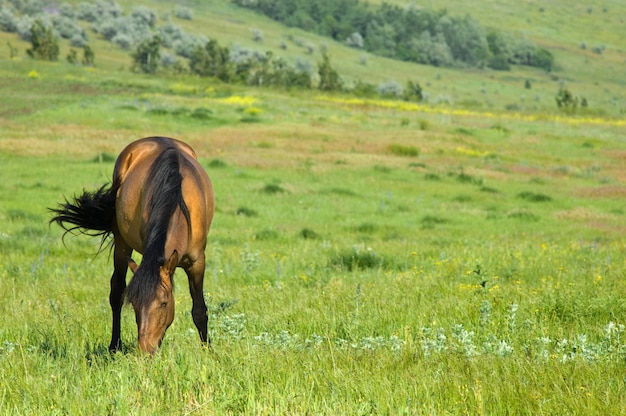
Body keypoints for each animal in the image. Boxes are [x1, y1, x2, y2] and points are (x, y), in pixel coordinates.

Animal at [49, 138, 214, 352]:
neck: (178, 201)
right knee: (116, 291)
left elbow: (199, 309)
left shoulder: (197, 262)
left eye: (163, 303)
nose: (145, 350)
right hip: (121, 243)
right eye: (135, 304)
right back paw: (114, 346)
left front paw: (207, 351)